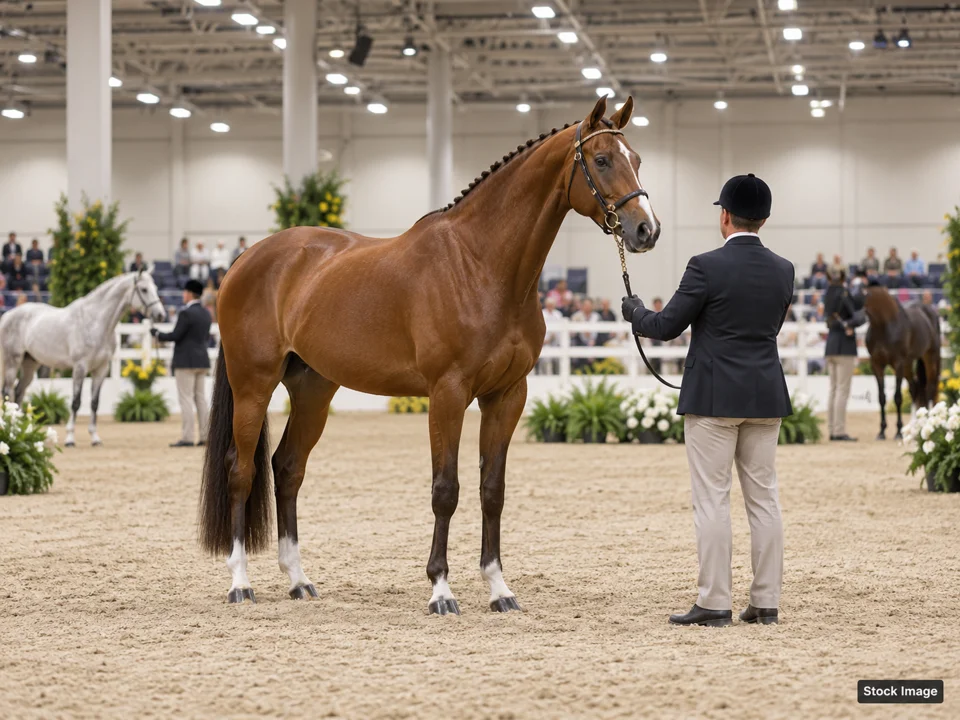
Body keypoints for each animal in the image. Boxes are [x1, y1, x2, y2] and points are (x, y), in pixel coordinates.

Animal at [0, 270, 167, 446]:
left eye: (155, 288)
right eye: (144, 289)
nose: (160, 315)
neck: (95, 323)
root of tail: (8, 315)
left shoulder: (101, 369)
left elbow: (94, 403)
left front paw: (95, 437)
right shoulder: (80, 367)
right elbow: (76, 402)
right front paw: (70, 438)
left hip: (30, 365)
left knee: (18, 392)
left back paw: (21, 430)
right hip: (12, 362)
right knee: (8, 393)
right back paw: (12, 431)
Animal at [198, 95, 661, 612]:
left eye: (636, 159)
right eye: (601, 160)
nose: (646, 230)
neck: (480, 265)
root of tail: (244, 260)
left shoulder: (508, 395)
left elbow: (492, 490)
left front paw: (499, 588)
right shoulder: (447, 393)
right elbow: (446, 489)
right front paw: (441, 588)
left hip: (314, 390)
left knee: (287, 468)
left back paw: (299, 579)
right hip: (253, 385)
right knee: (240, 471)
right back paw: (240, 583)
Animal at [863, 284, 941, 440]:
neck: (883, 325)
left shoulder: (898, 363)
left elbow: (897, 397)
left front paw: (898, 431)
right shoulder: (876, 365)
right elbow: (882, 397)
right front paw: (882, 431)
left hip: (930, 357)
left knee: (930, 387)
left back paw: (929, 420)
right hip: (908, 364)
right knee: (915, 388)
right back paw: (915, 424)